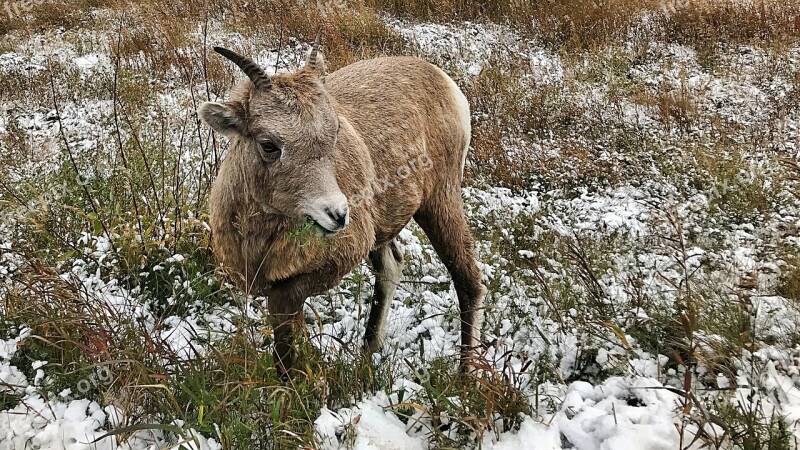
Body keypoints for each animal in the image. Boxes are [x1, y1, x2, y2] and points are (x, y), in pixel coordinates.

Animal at [200, 37, 488, 378]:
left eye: (335, 132)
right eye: (268, 144)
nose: (338, 215)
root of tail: (444, 81)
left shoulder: (326, 267)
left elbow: (285, 320)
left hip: (440, 203)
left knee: (468, 280)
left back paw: (466, 376)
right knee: (391, 268)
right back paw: (368, 351)